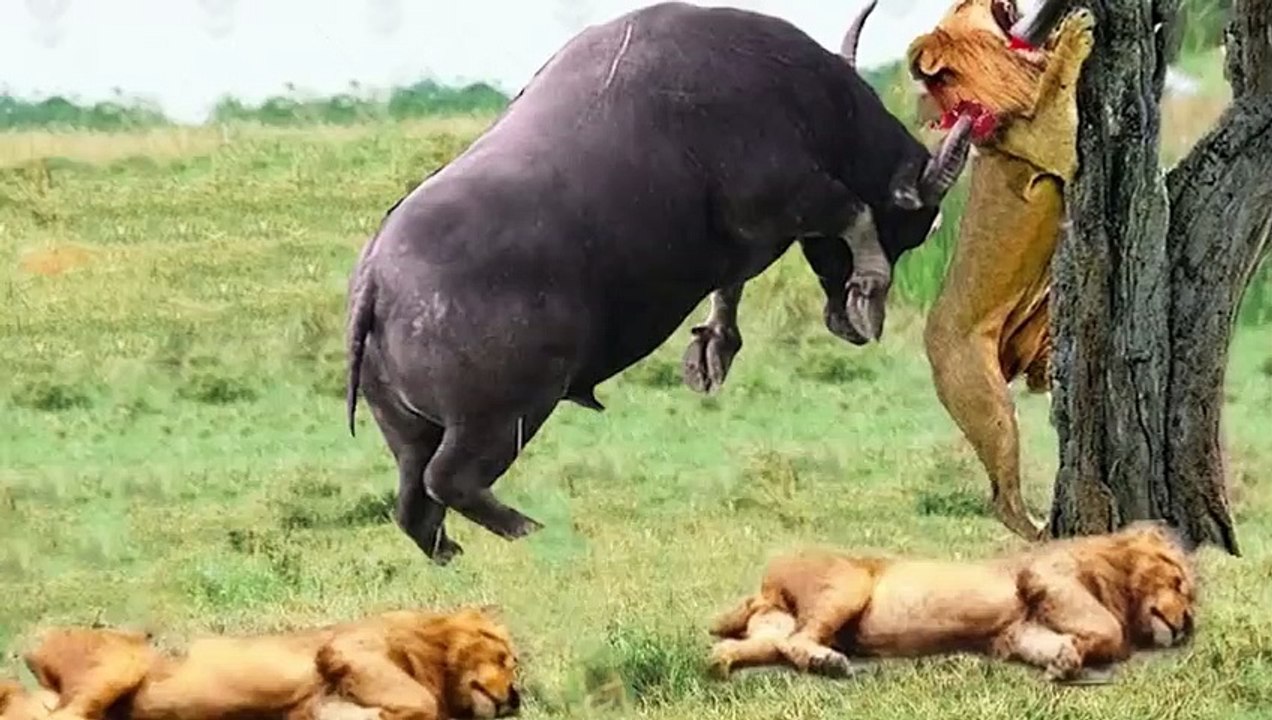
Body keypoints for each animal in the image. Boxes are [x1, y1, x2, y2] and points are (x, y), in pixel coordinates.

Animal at [346, 0, 974, 564]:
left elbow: (732, 285)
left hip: (409, 431)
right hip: (503, 416)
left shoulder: (751, 238)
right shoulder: (792, 196)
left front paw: (712, 352)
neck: (803, 96)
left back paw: (453, 550)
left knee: (413, 504)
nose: (844, 324)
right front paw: (868, 290)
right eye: (911, 228)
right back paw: (534, 531)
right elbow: (852, 212)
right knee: (449, 482)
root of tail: (375, 280)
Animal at [707, 521, 1198, 683]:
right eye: (1179, 583)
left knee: (741, 646)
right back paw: (827, 662)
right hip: (848, 584)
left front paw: (1064, 659)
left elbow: (1063, 642)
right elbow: (1112, 633)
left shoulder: (1019, 630)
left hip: (770, 627)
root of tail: (765, 584)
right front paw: (1075, 654)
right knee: (798, 641)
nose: (1188, 626)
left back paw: (721, 663)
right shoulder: (1043, 575)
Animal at [905, 0, 1096, 541]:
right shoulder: (1060, 147)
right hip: (989, 407)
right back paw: (1046, 530)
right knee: (1001, 499)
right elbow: (1057, 90)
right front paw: (1075, 35)